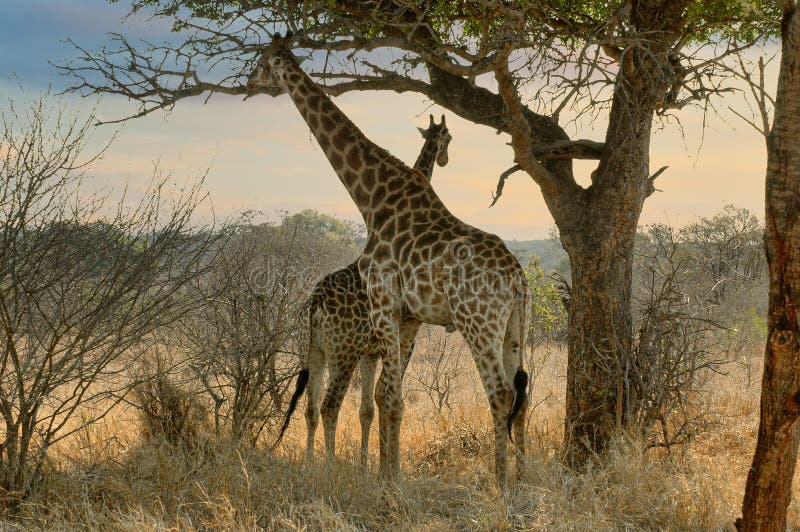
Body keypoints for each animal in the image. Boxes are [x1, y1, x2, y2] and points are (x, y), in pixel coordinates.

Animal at [245, 34, 532, 490]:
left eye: (261, 60)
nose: (249, 81)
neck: (372, 200)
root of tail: (519, 278)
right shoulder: (407, 317)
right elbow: (385, 397)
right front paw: (385, 471)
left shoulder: (385, 304)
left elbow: (389, 398)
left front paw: (388, 479)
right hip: (514, 328)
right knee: (524, 391)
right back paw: (522, 478)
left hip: (475, 323)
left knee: (501, 393)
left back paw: (500, 484)